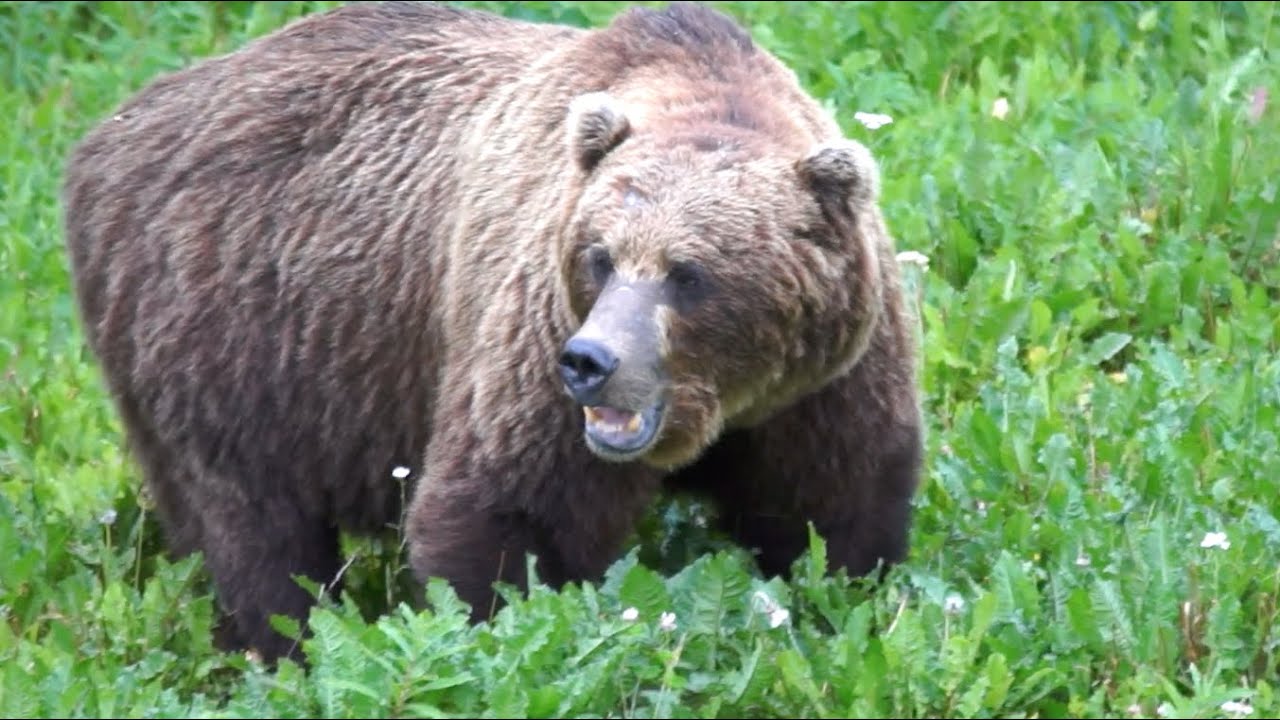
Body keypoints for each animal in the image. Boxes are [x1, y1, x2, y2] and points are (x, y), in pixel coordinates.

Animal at [61, 0, 924, 664]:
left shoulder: (825, 382)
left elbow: (833, 505)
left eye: (688, 273)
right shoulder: (527, 327)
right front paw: (496, 627)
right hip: (230, 329)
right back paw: (277, 646)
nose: (590, 362)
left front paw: (839, 596)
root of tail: (110, 132)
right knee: (253, 527)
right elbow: (508, 510)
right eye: (600, 256)